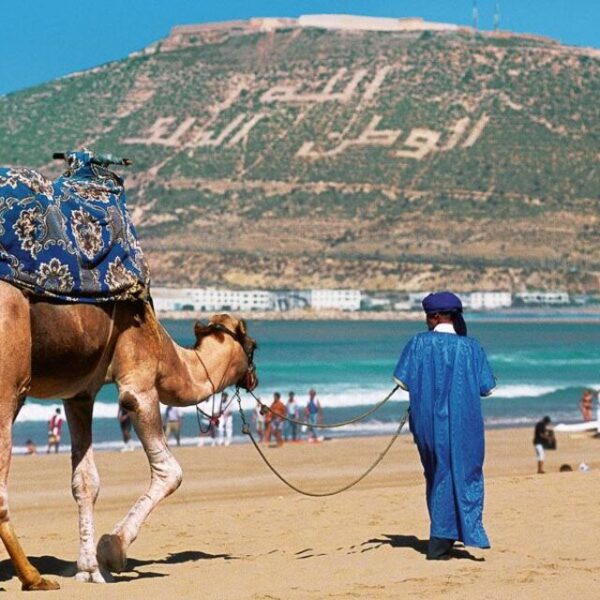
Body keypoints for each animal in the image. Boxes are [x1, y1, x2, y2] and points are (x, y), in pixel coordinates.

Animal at [0, 282, 255, 592]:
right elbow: (170, 471)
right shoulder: (138, 381)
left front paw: (90, 569)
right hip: (9, 379)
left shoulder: (80, 395)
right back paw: (34, 578)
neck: (166, 353)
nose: (254, 378)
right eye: (253, 347)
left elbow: (85, 482)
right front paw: (112, 550)